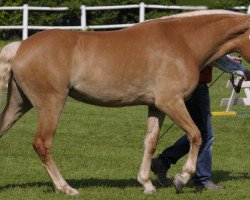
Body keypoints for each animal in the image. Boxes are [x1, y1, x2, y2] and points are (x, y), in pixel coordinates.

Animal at [0, 9, 250, 195]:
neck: (183, 42)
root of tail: (20, 46)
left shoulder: (157, 107)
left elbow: (150, 142)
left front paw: (147, 184)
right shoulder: (171, 103)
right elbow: (196, 135)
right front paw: (182, 178)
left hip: (19, 104)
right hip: (50, 104)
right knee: (42, 143)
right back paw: (66, 188)